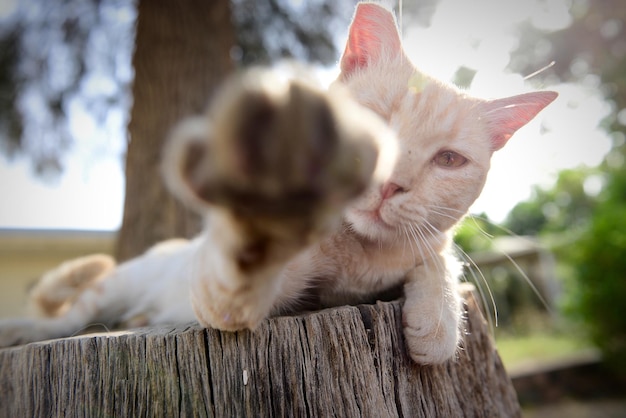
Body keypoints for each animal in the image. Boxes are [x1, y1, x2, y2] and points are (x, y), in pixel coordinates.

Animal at [0, 1, 556, 364]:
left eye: (448, 160)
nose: (392, 183)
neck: (355, 257)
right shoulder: (239, 296)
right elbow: (240, 274)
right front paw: (262, 222)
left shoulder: (424, 248)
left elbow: (438, 260)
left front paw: (438, 324)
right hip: (119, 283)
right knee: (70, 316)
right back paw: (24, 329)